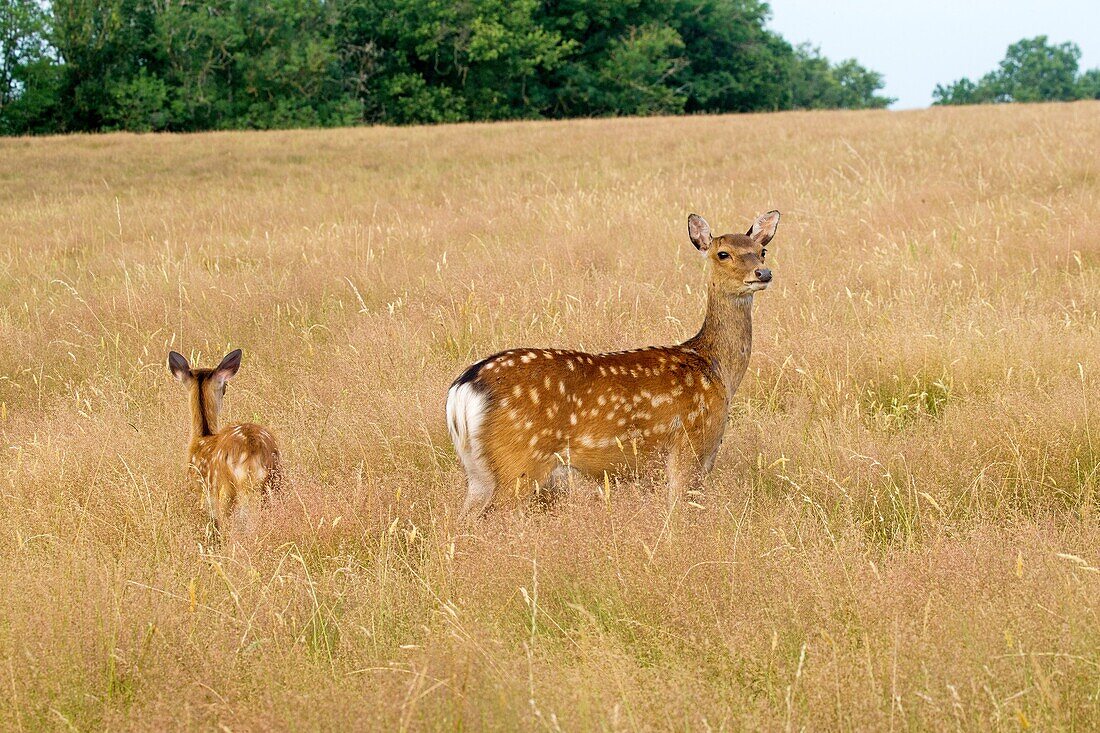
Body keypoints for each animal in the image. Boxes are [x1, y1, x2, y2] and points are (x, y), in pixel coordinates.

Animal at [166, 347, 281, 537]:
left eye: (224, 387)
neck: (202, 437)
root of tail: (253, 450)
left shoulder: (198, 491)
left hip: (226, 492)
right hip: (275, 482)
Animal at [448, 205, 783, 512]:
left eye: (762, 251)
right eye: (723, 254)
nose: (763, 273)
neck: (717, 369)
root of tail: (463, 389)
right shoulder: (692, 445)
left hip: (478, 472)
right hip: (520, 460)